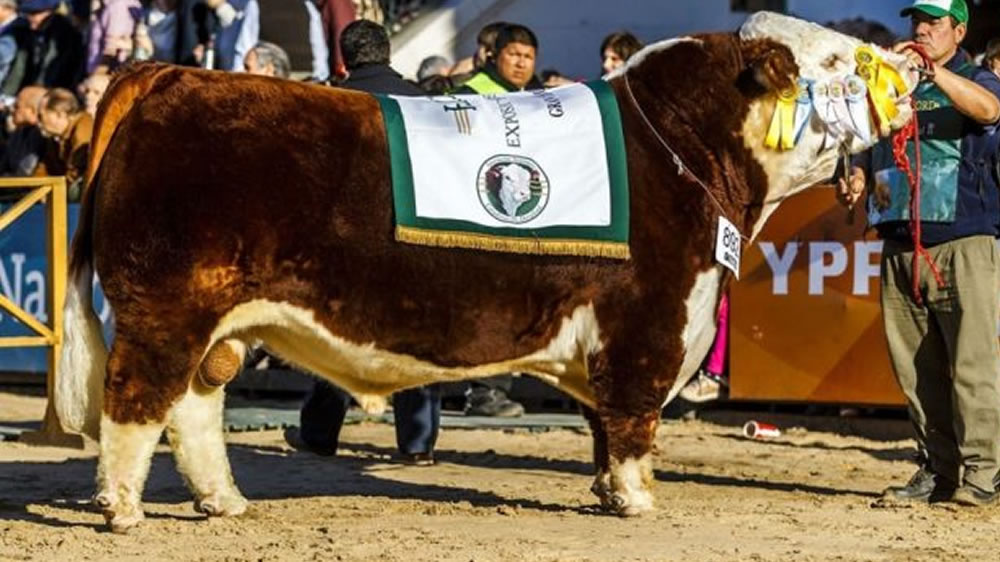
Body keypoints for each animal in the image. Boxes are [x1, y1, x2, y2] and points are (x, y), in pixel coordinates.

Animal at [50, 13, 916, 528]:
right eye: (836, 57)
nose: (909, 69)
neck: (680, 149)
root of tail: (171, 74)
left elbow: (605, 422)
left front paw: (608, 491)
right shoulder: (651, 316)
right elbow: (634, 418)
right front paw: (637, 499)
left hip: (219, 319)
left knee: (194, 407)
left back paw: (224, 501)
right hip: (168, 305)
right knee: (136, 399)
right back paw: (121, 509)